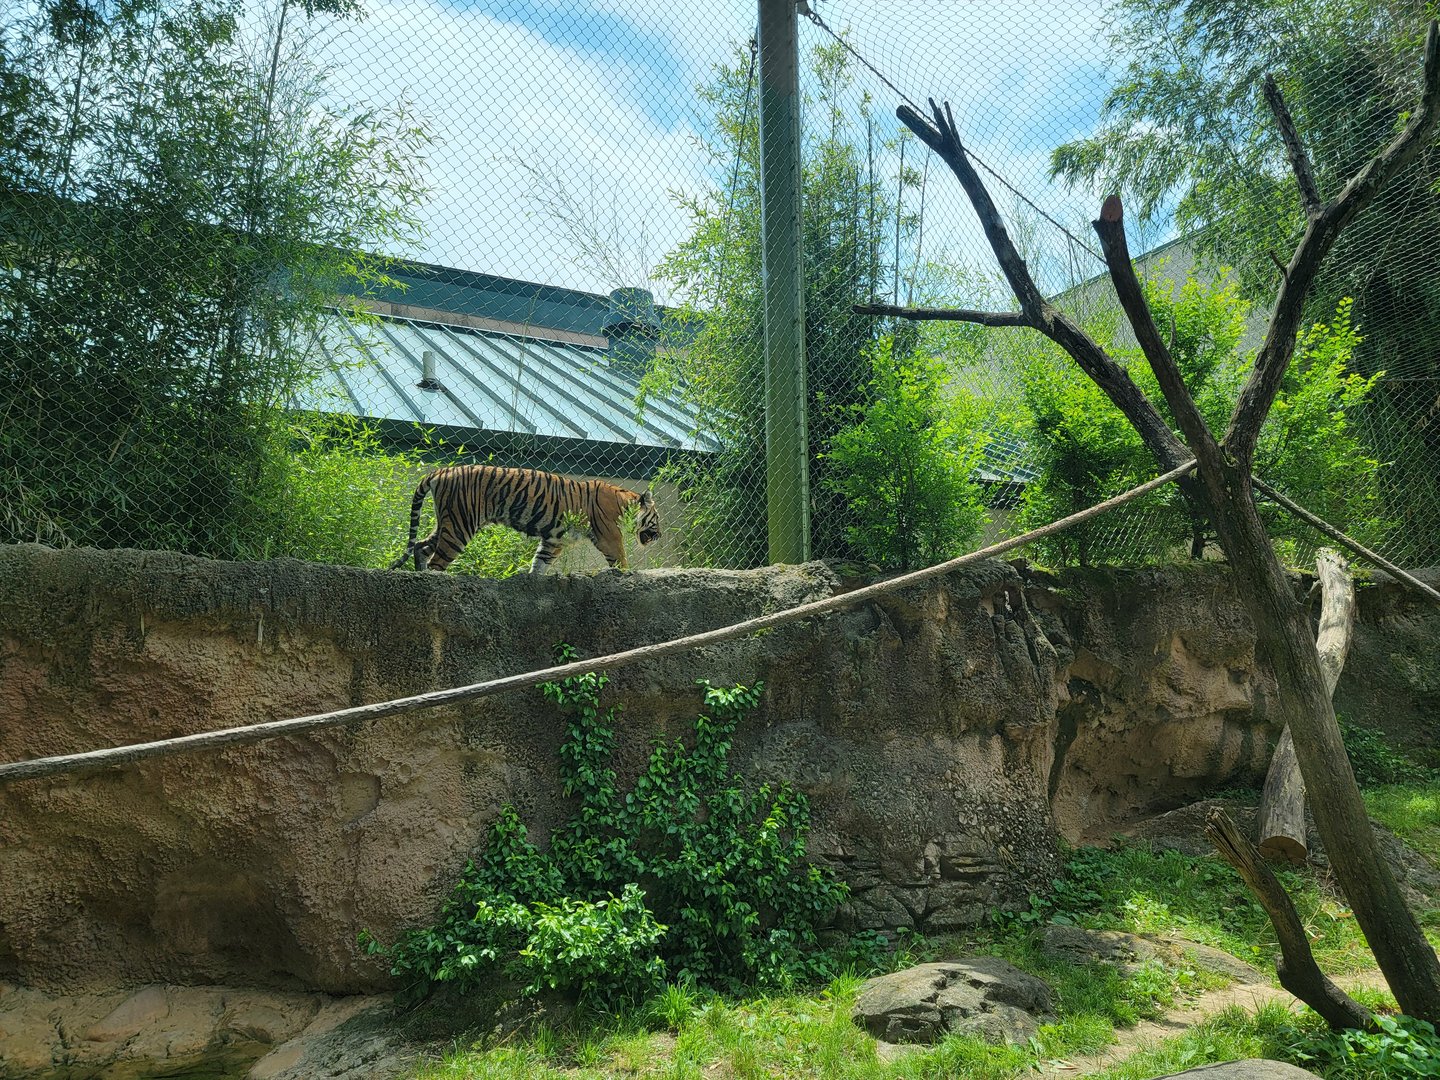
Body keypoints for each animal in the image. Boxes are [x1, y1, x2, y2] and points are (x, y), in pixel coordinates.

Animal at [389, 464, 661, 575]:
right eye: (656, 519)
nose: (659, 536)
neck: (625, 503)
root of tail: (443, 470)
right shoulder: (609, 536)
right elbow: (621, 559)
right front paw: (627, 575)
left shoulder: (554, 540)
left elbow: (539, 563)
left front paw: (531, 579)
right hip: (460, 525)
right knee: (437, 561)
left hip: (449, 521)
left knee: (421, 546)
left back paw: (420, 573)